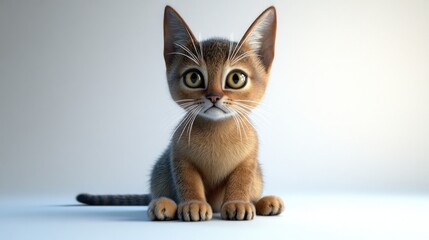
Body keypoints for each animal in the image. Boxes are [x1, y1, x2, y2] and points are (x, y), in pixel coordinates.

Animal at [76, 5, 284, 221]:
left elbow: (242, 181)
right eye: (193, 77)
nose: (214, 96)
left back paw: (266, 202)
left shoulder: (248, 160)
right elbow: (188, 181)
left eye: (236, 78)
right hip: (161, 170)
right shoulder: (179, 156)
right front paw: (194, 203)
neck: (217, 130)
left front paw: (238, 202)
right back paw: (162, 204)